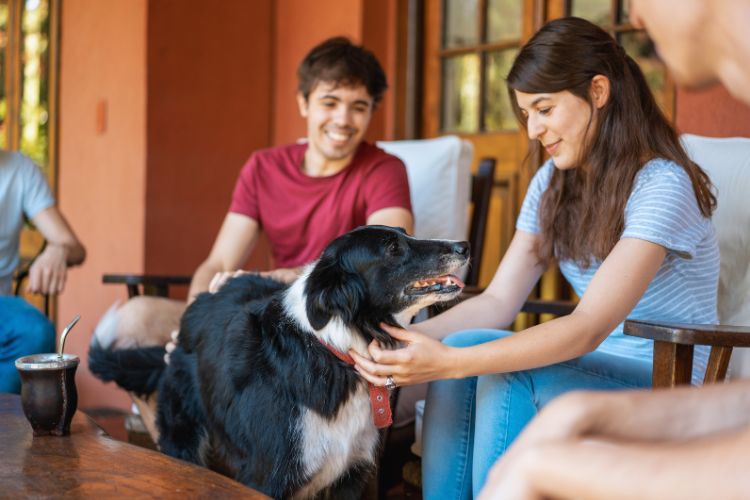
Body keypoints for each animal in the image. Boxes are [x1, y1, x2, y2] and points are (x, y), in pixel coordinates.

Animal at [89, 226, 470, 496]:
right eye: (393, 248)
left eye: (406, 234)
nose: (464, 246)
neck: (334, 351)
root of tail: (196, 306)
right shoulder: (268, 475)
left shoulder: (350, 474)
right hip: (183, 436)